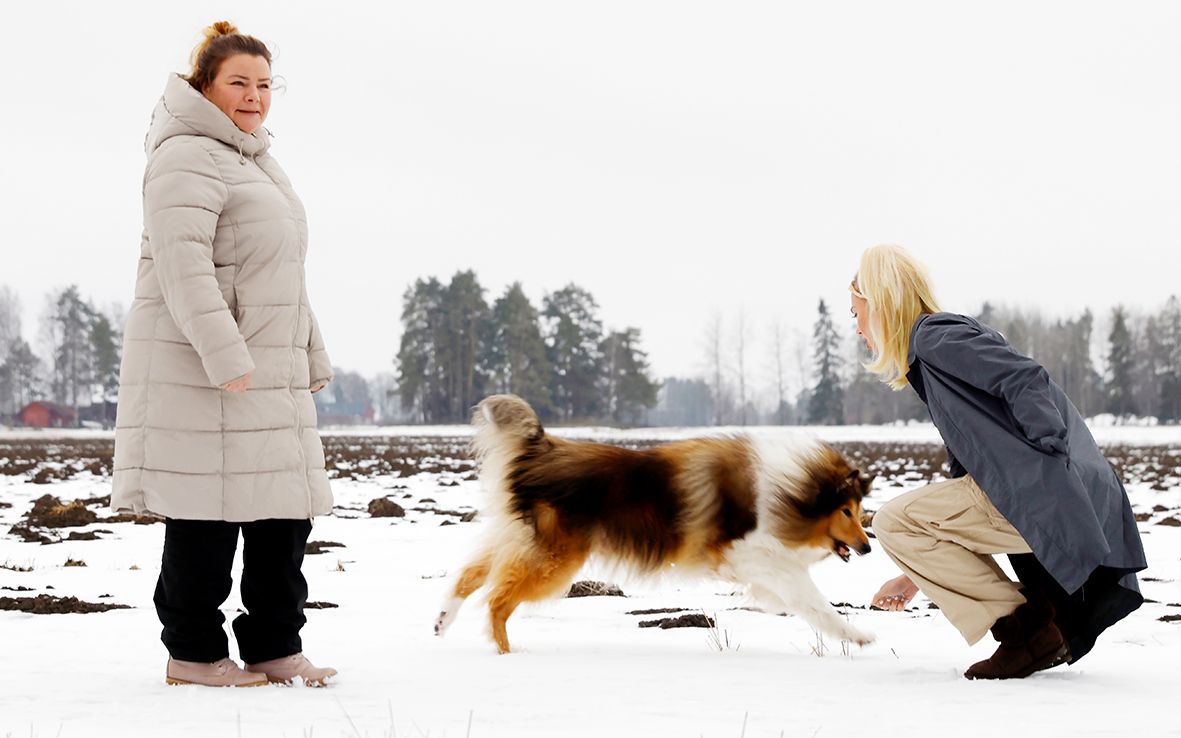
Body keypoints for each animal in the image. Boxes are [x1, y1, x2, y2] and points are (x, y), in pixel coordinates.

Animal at [436, 394, 878, 651]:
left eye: (859, 510)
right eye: (846, 510)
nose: (867, 547)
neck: (790, 490)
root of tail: (542, 450)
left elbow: (800, 601)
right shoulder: (747, 553)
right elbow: (813, 600)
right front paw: (857, 635)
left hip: (522, 539)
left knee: (470, 576)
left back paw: (443, 622)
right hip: (555, 559)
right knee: (497, 600)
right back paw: (504, 654)